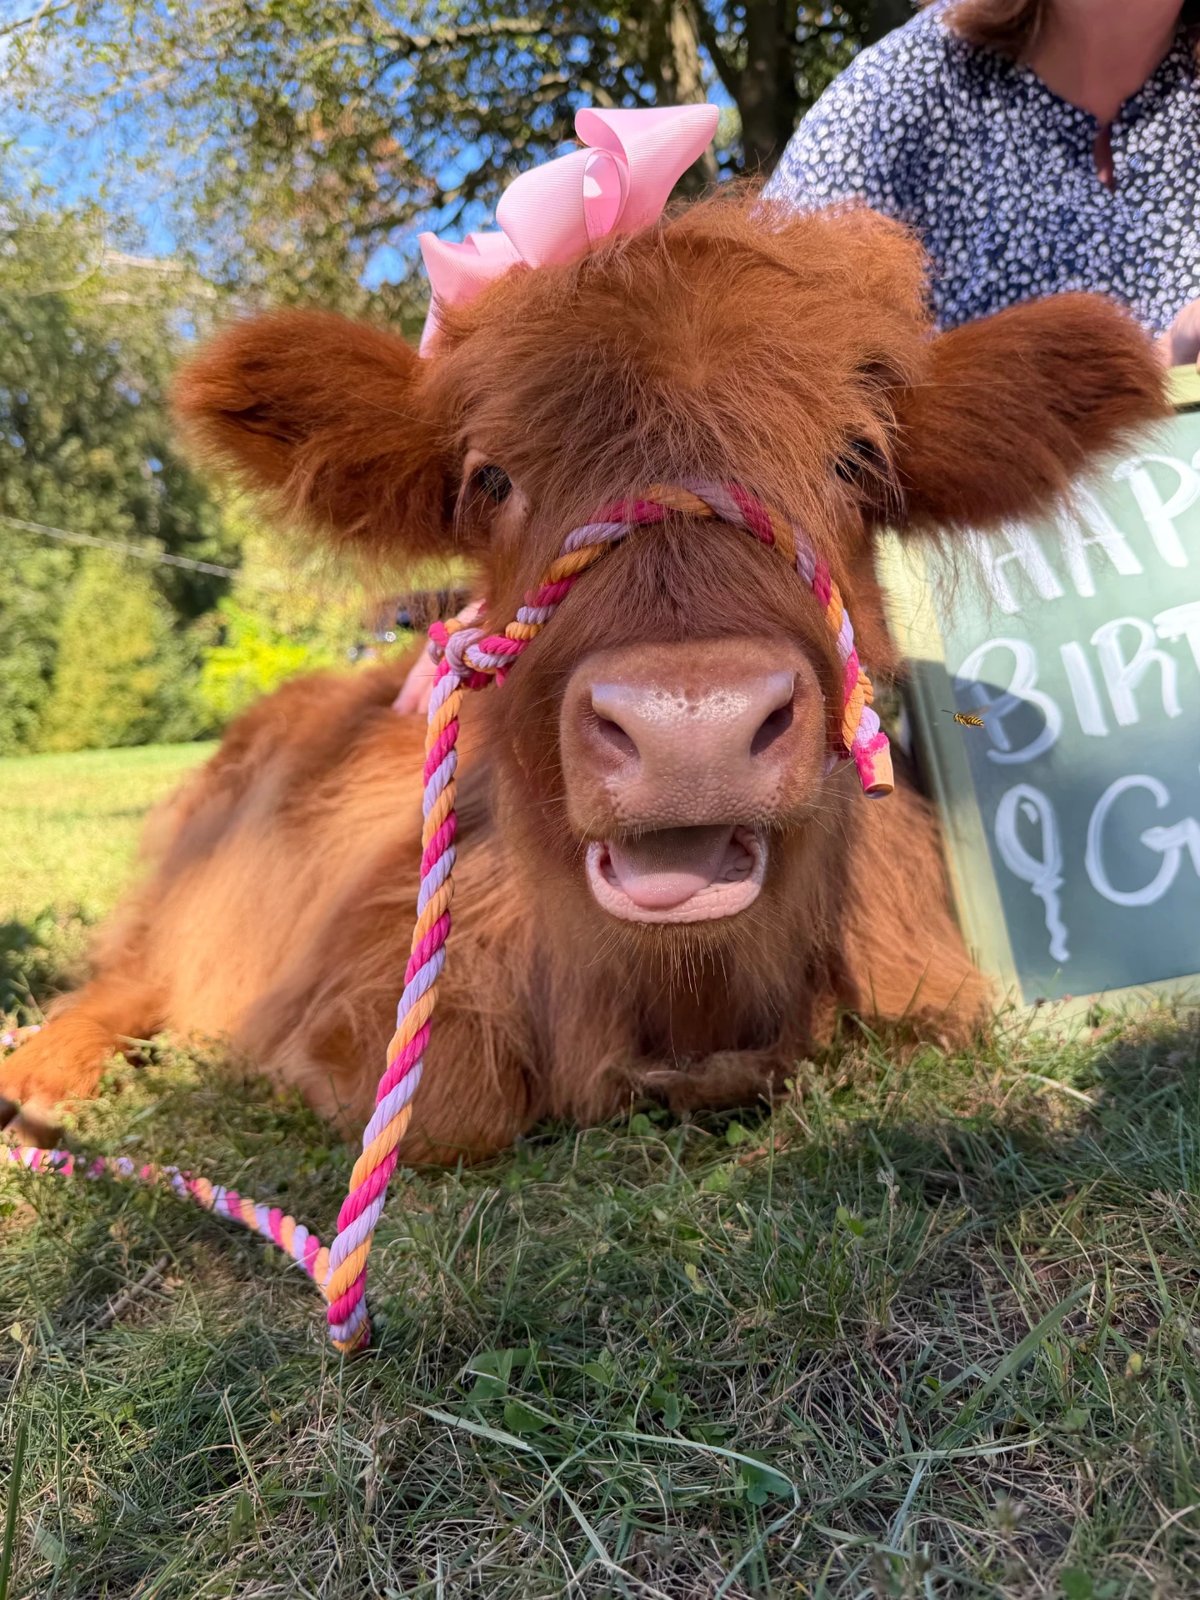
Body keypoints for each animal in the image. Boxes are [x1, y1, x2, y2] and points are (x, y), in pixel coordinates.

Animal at [0, 195, 1167, 1164]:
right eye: (490, 478)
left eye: (856, 460)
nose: (692, 722)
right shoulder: (345, 980)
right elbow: (449, 1104)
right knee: (128, 973)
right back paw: (40, 1076)